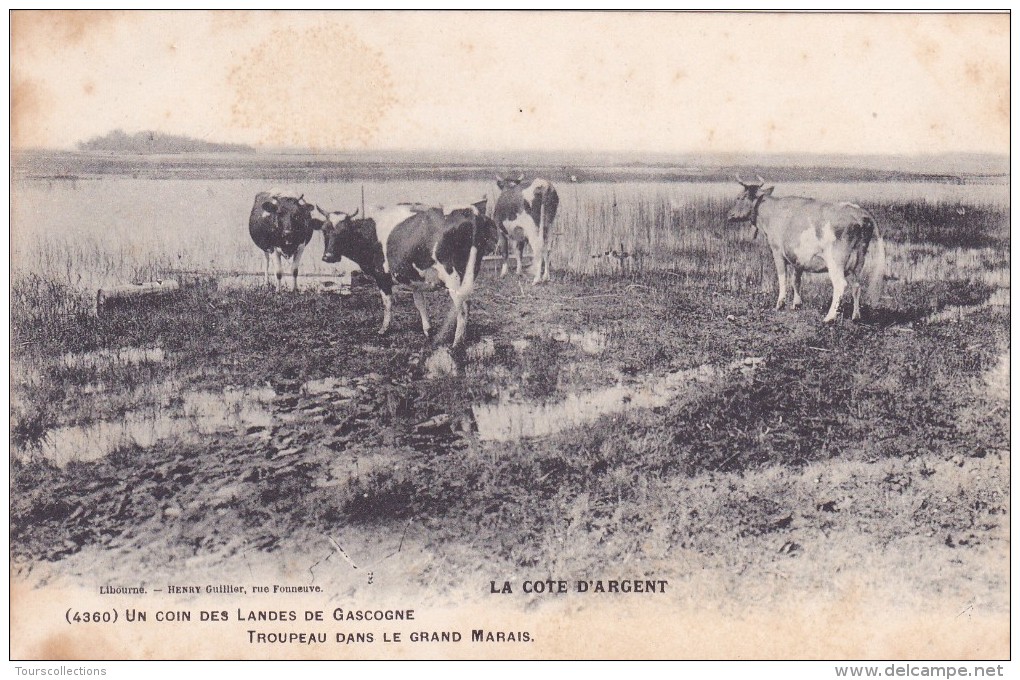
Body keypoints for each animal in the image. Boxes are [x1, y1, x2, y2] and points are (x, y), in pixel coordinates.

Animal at [316, 197, 495, 346]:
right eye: (324, 230)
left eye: (344, 231)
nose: (328, 257)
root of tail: (472, 212)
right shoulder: (414, 279)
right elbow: (420, 303)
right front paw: (428, 330)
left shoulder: (382, 277)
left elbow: (387, 303)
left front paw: (384, 329)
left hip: (452, 274)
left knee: (463, 306)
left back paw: (457, 342)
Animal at [726, 175, 885, 324]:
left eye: (740, 197)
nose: (729, 215)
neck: (771, 212)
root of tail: (858, 212)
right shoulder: (799, 257)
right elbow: (796, 280)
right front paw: (796, 304)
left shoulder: (777, 251)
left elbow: (782, 277)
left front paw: (780, 304)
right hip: (859, 260)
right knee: (856, 285)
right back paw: (856, 316)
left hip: (835, 260)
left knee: (840, 284)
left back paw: (830, 317)